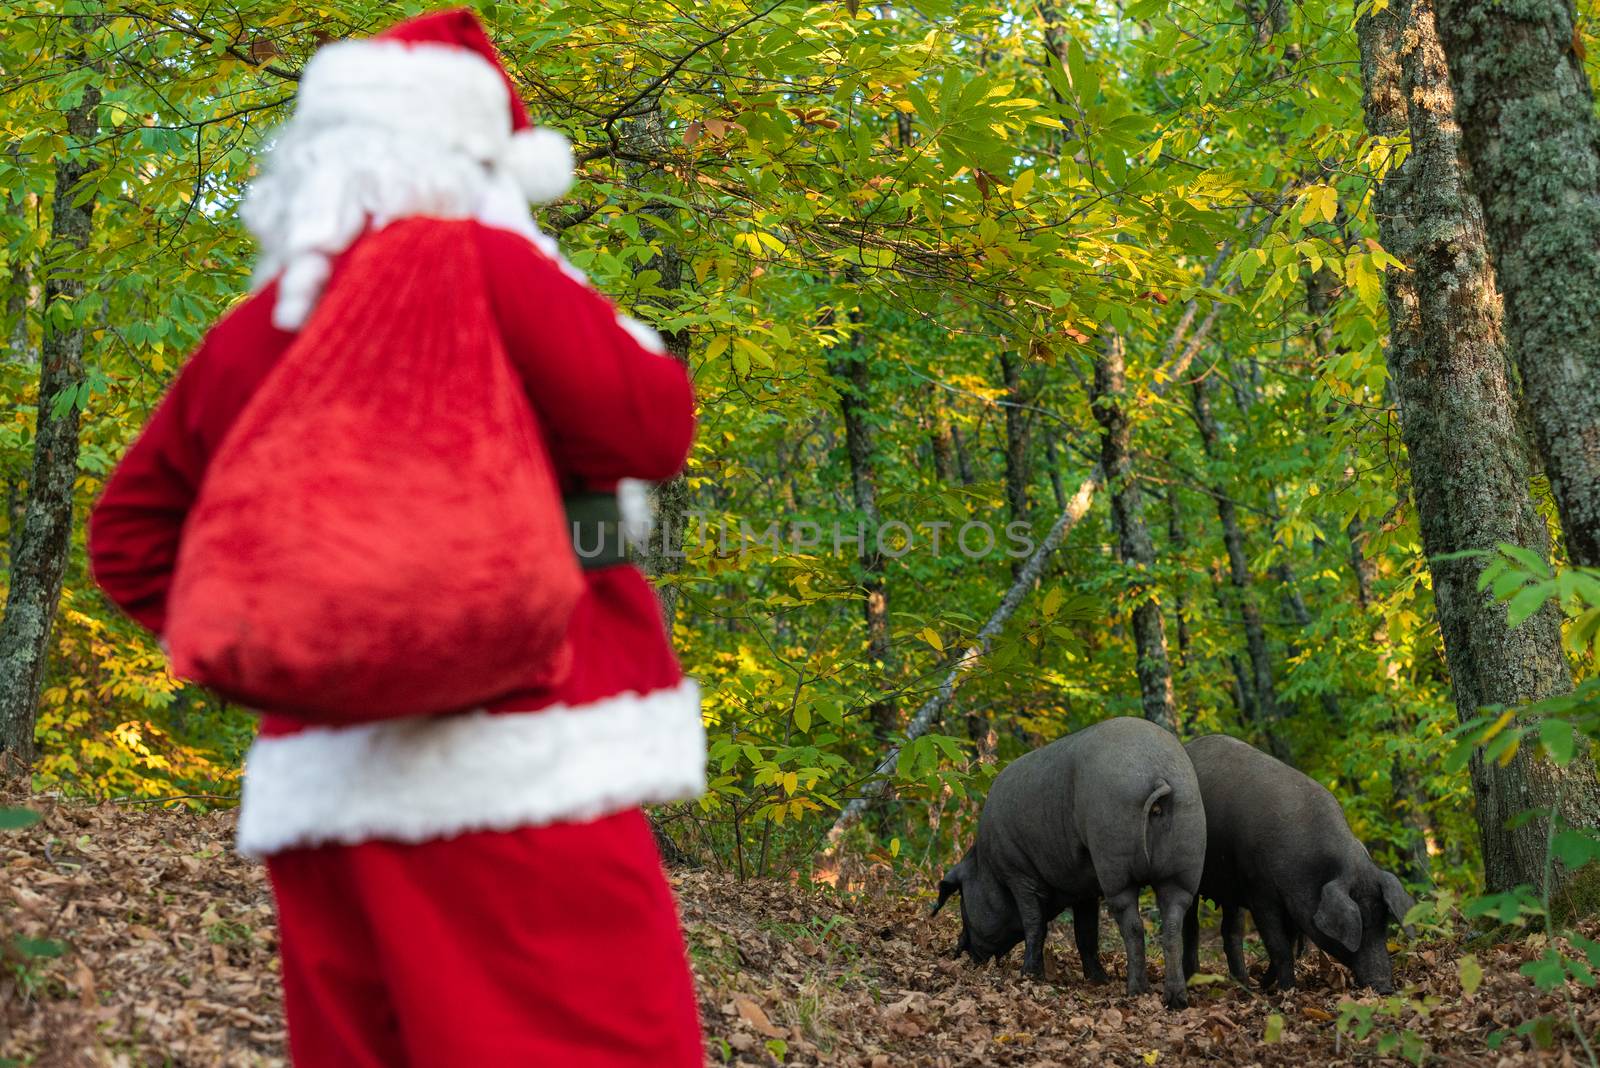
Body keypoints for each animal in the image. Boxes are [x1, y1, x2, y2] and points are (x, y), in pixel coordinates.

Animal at [934, 716, 1203, 1010]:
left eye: (962, 901)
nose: (959, 952)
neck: (987, 864)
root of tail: (1158, 774)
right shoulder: (1084, 888)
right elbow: (1085, 933)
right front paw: (1098, 980)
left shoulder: (1019, 873)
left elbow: (1035, 924)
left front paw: (1029, 975)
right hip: (1183, 864)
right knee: (1173, 923)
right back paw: (1176, 1000)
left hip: (1115, 862)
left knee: (1133, 925)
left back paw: (1136, 991)